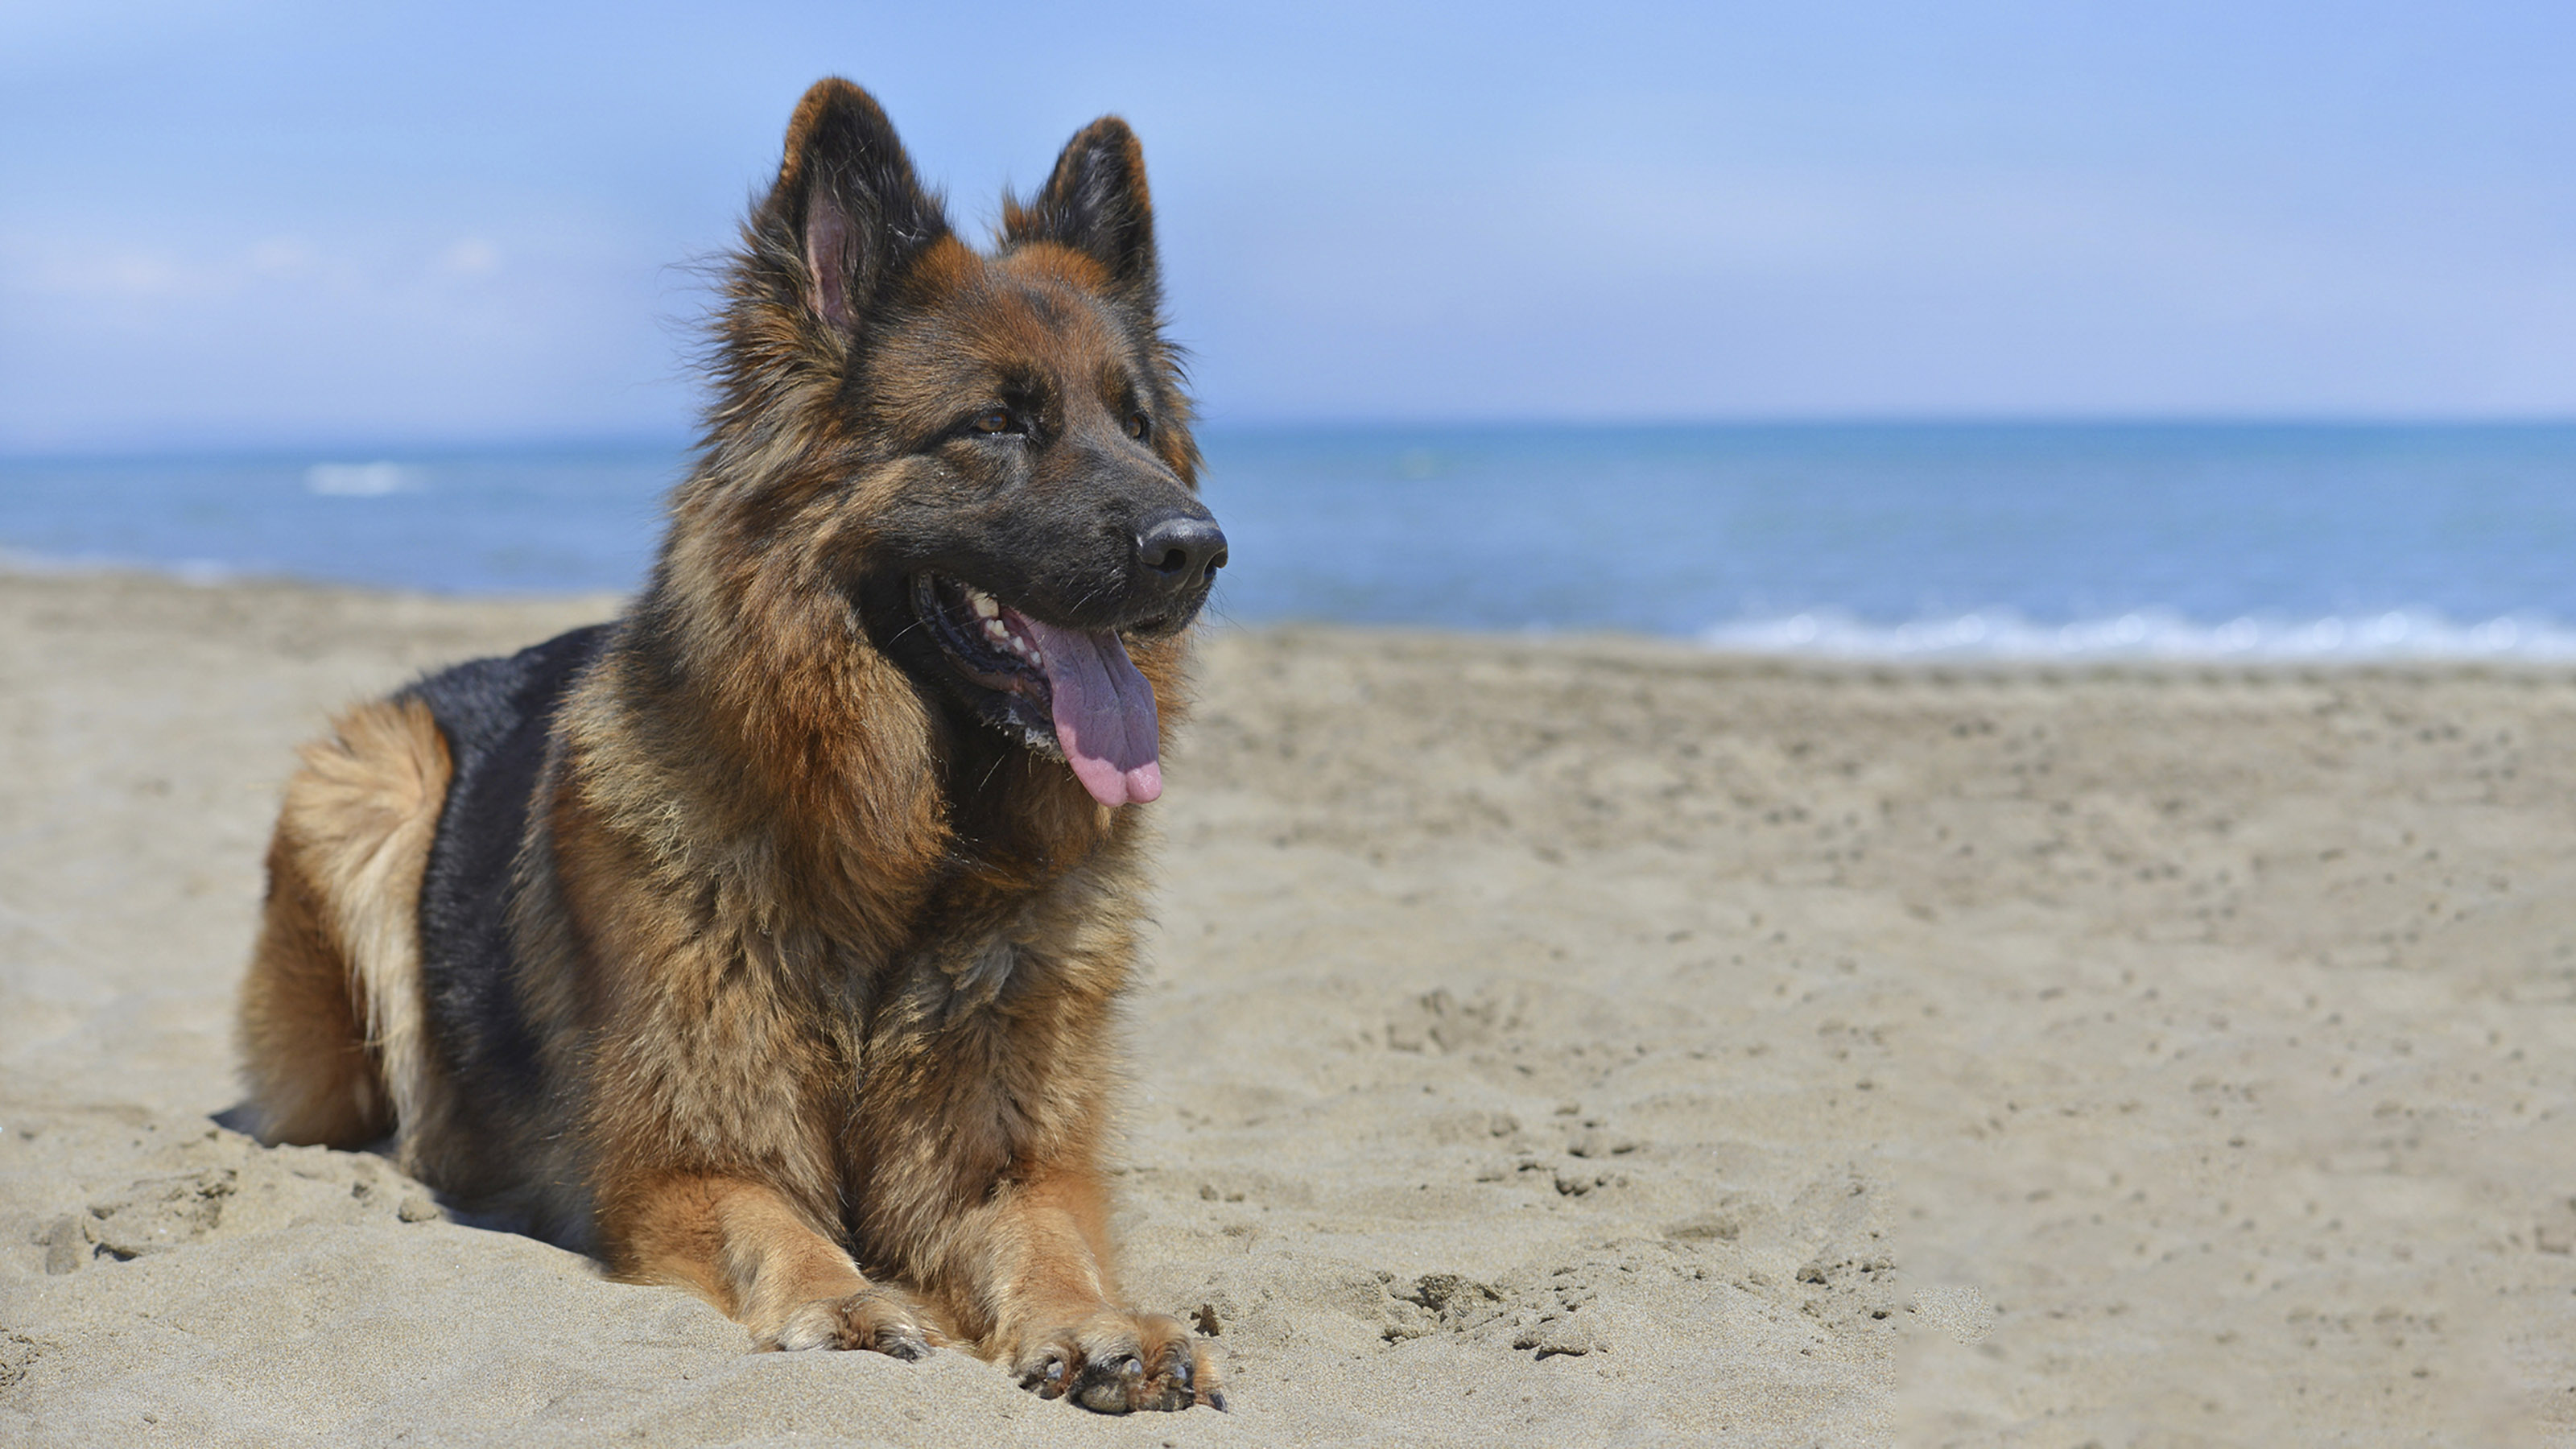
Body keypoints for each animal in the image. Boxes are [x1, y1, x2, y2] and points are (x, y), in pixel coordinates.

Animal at [234, 81, 1226, 1413]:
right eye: (998, 424)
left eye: (1136, 424)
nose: (1198, 551)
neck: (904, 856)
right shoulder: (679, 1165)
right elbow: (779, 1226)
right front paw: (843, 1298)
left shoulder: (1008, 1156)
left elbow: (1049, 1234)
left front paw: (1104, 1322)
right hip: (377, 782)